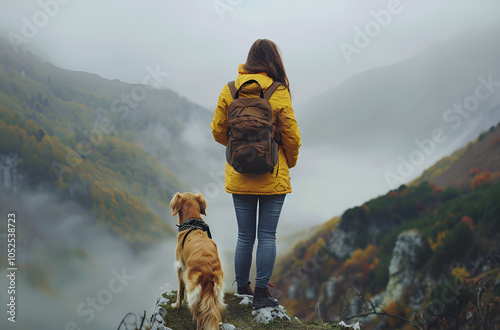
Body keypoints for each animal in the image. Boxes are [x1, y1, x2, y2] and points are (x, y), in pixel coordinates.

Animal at [172, 192, 227, 328]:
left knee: (200, 318)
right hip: (217, 294)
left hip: (195, 294)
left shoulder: (180, 267)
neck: (193, 224)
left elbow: (180, 292)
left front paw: (176, 306)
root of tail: (208, 272)